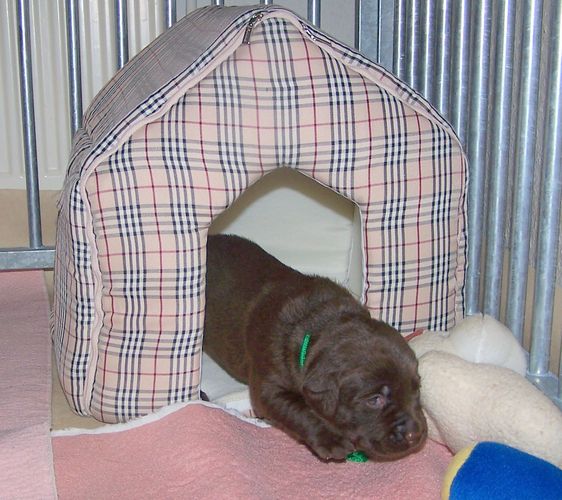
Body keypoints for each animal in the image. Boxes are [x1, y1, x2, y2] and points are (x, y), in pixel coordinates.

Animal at [203, 234, 427, 461]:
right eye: (375, 400)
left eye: (417, 388)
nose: (414, 435)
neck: (319, 324)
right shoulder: (269, 385)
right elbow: (297, 409)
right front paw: (331, 439)